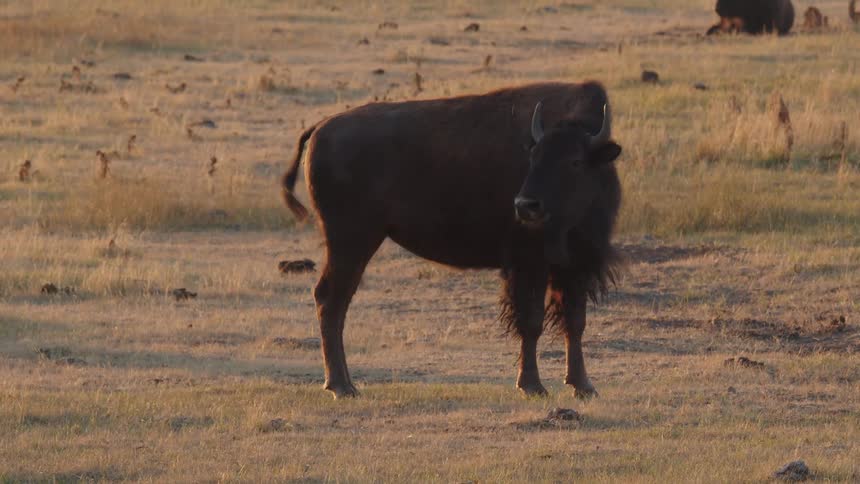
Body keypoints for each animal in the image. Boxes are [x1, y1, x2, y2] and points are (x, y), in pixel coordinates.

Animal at [282, 82, 622, 399]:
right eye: (533, 157)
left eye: (575, 161)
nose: (526, 205)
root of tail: (321, 128)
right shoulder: (529, 265)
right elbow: (531, 322)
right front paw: (532, 386)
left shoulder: (576, 266)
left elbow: (575, 322)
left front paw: (583, 386)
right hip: (352, 243)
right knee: (331, 300)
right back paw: (341, 386)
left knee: (334, 301)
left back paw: (343, 384)